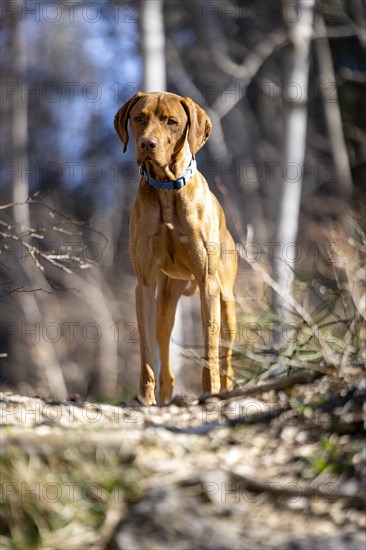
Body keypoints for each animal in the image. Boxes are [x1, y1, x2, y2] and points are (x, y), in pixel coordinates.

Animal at [116, 92, 239, 406]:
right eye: (139, 118)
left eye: (171, 121)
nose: (147, 144)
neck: (167, 189)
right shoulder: (145, 285)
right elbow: (147, 351)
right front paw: (145, 398)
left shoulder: (208, 283)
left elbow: (209, 348)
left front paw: (210, 391)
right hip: (167, 298)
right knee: (164, 345)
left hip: (227, 302)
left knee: (226, 353)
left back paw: (228, 389)